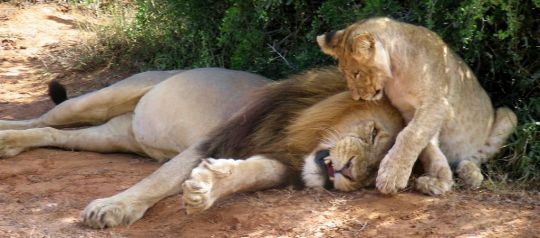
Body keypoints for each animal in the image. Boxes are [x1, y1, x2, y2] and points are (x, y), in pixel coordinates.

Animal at [0, 67, 404, 229]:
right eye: (373, 134)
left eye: (373, 176)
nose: (351, 173)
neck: (299, 138)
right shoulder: (214, 138)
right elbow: (159, 180)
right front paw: (114, 207)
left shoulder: (279, 162)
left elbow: (249, 174)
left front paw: (207, 189)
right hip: (105, 97)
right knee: (45, 117)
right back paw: (5, 133)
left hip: (112, 136)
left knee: (53, 133)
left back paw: (11, 143)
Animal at [318, 17, 516, 195]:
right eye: (345, 73)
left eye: (356, 73)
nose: (356, 97)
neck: (396, 75)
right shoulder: (409, 111)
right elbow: (428, 148)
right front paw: (440, 181)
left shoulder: (437, 104)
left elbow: (410, 136)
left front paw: (391, 176)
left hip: (508, 116)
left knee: (476, 156)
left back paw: (471, 173)